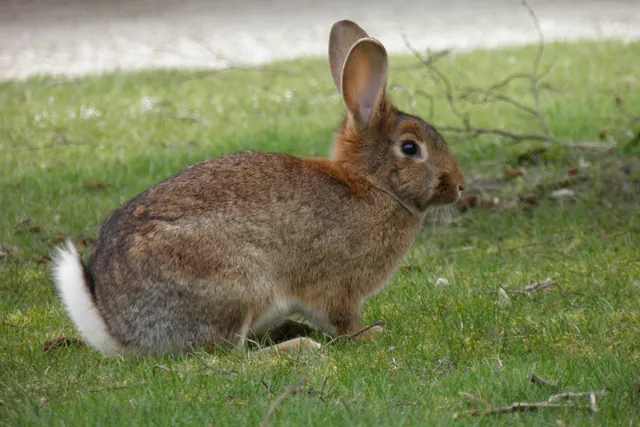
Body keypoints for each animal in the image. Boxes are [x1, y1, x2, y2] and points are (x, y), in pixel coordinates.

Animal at [51, 19, 465, 356]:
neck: (373, 184)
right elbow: (343, 319)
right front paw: (371, 333)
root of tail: (119, 328)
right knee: (226, 355)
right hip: (237, 285)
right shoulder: (339, 287)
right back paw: (298, 346)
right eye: (410, 148)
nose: (459, 186)